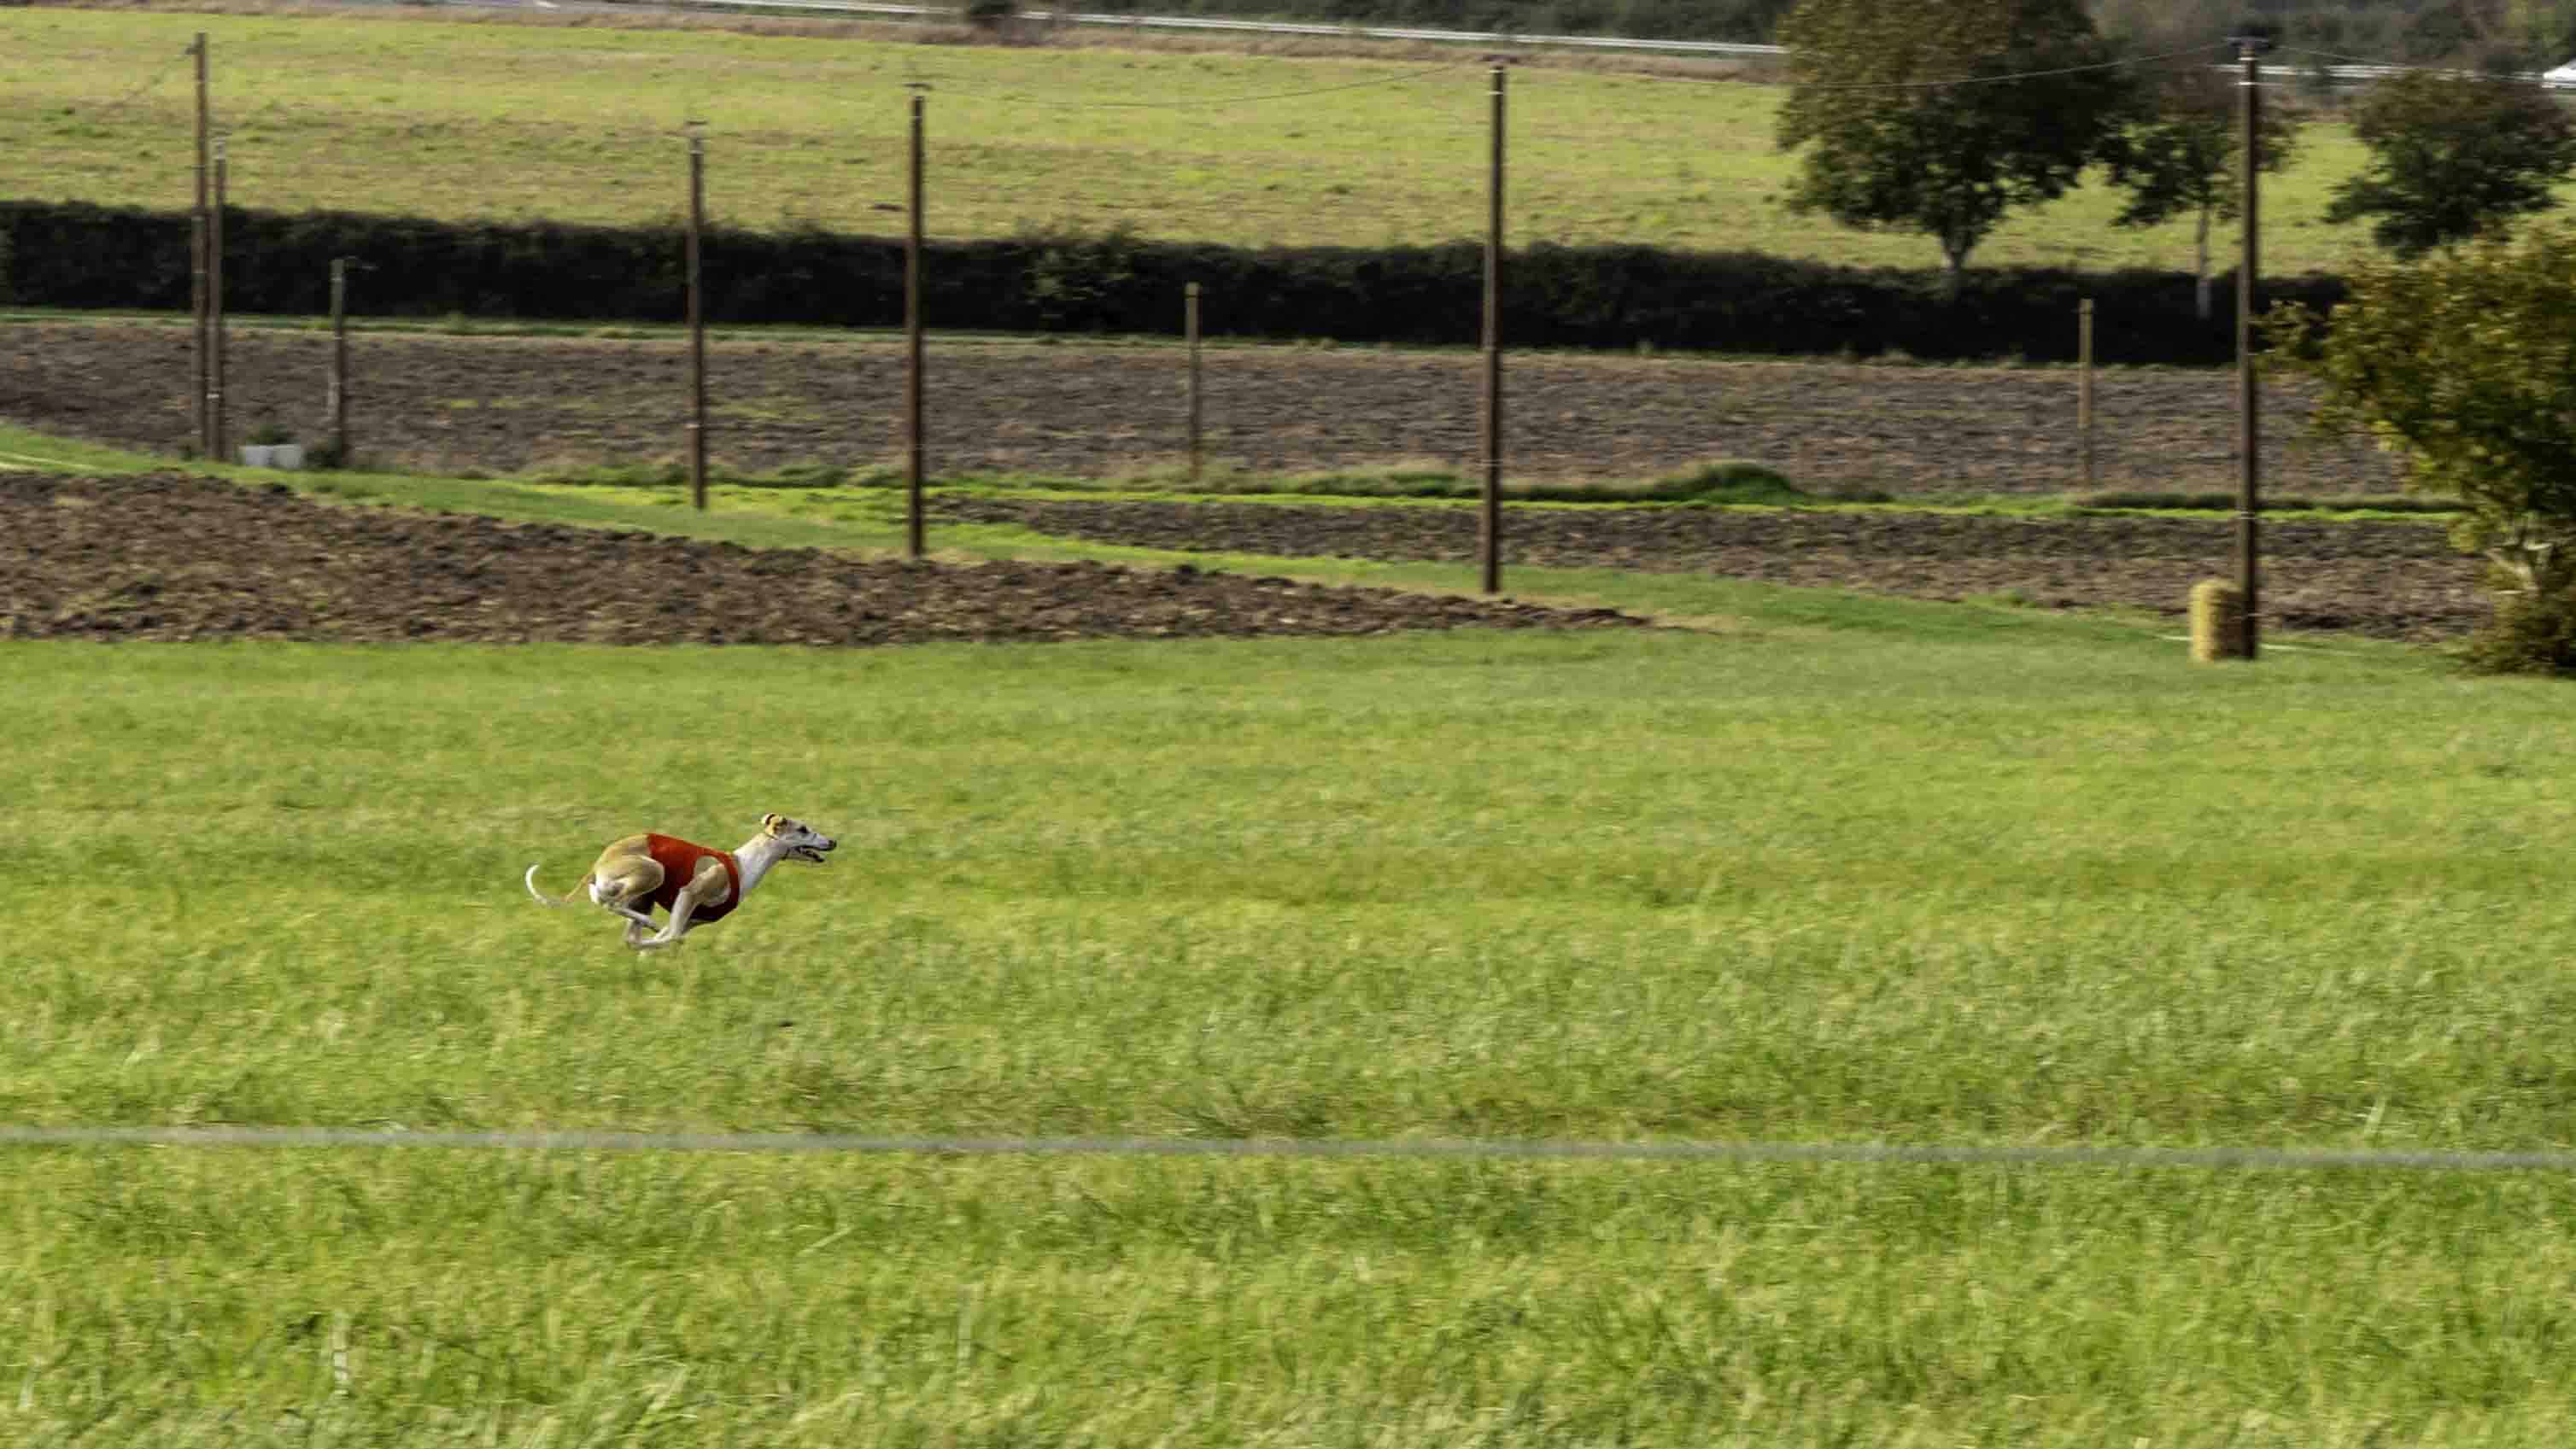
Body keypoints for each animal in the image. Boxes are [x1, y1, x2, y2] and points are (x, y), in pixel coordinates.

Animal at [523, 818, 834, 952]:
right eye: (804, 829)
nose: (833, 841)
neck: (744, 864)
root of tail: (598, 865)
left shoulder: (692, 919)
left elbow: (668, 936)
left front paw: (647, 950)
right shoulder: (690, 893)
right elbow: (671, 935)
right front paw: (653, 941)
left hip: (645, 895)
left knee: (620, 916)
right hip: (653, 870)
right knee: (611, 903)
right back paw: (646, 923)